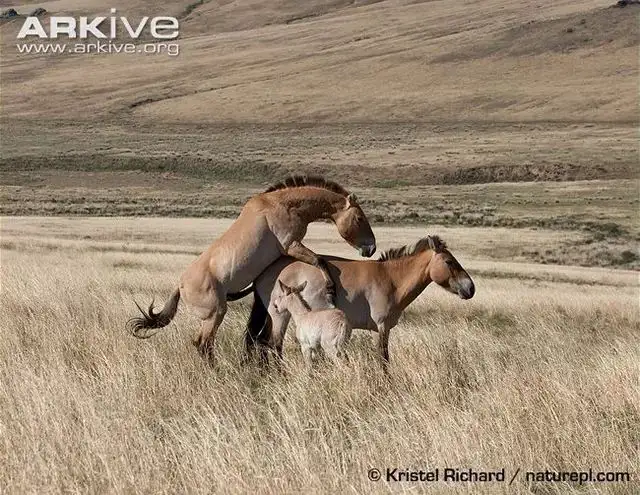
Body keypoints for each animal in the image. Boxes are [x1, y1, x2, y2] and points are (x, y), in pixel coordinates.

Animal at [127, 175, 376, 364]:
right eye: (359, 217)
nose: (371, 248)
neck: (284, 204)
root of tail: (180, 285)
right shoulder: (291, 245)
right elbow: (319, 260)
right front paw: (331, 289)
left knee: (202, 344)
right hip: (215, 314)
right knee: (203, 344)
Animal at [242, 234, 472, 370]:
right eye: (449, 262)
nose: (471, 288)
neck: (390, 279)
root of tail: (264, 271)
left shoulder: (382, 329)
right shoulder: (382, 326)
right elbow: (383, 358)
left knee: (262, 342)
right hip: (280, 316)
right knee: (274, 345)